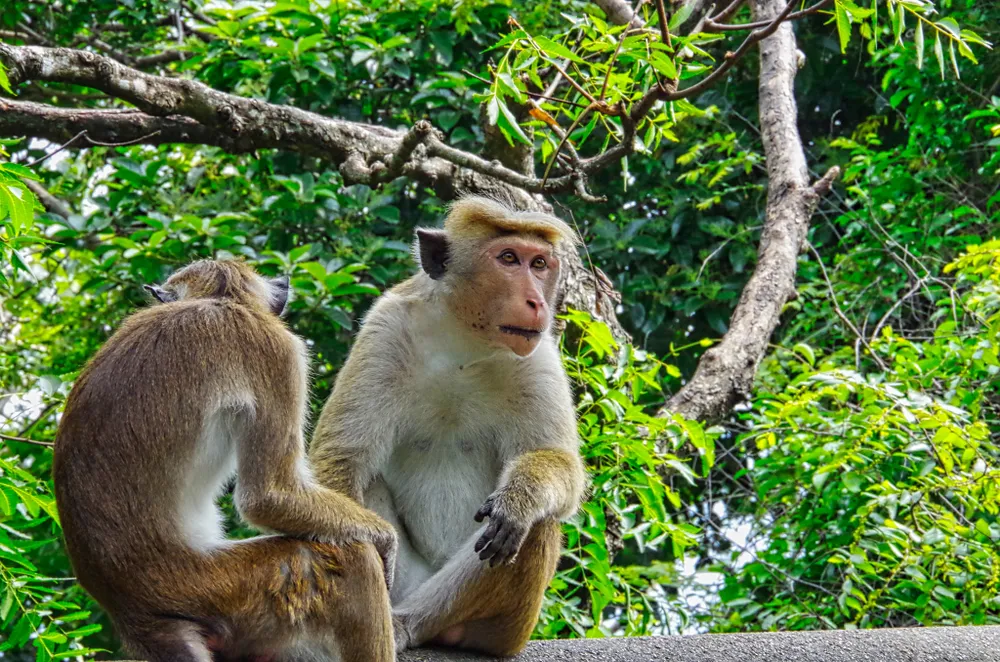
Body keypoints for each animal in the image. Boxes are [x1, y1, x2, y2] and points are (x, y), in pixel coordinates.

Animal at [52, 259, 398, 662]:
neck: (217, 301)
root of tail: (134, 615)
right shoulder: (276, 350)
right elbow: (269, 495)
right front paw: (386, 539)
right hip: (228, 588)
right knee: (351, 557)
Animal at [309, 196, 588, 656]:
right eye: (508, 259)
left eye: (540, 264)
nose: (536, 301)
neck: (465, 343)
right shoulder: (385, 331)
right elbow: (343, 459)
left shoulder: (539, 357)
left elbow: (555, 460)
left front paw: (519, 500)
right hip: (407, 580)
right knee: (367, 482)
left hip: (507, 628)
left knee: (536, 526)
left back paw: (411, 624)